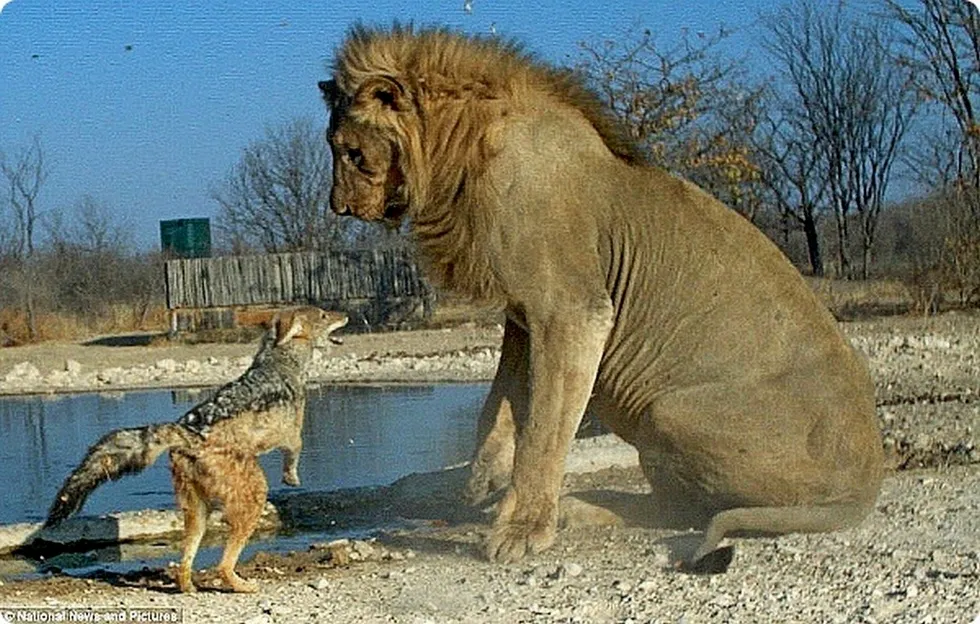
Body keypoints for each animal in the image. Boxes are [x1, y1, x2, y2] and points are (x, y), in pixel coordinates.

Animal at [318, 24, 884, 568]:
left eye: (352, 152)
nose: (338, 207)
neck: (457, 155)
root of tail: (868, 482)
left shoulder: (570, 310)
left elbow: (543, 431)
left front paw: (521, 530)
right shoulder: (523, 317)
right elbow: (497, 409)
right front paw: (479, 482)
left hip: (666, 411)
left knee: (685, 509)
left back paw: (576, 509)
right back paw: (577, 509)